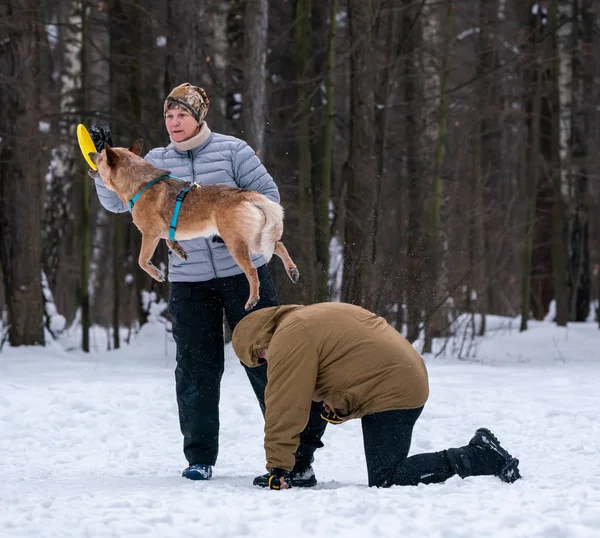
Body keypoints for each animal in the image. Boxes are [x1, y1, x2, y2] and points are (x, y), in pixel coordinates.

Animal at [89, 139, 300, 310]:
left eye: (101, 156)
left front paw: (157, 274)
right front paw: (180, 251)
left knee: (252, 270)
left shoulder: (150, 234)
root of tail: (246, 195)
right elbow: (170, 241)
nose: (91, 154)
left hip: (237, 244)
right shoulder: (164, 232)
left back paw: (253, 299)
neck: (140, 184)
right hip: (256, 239)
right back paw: (292, 271)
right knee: (279, 245)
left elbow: (142, 260)